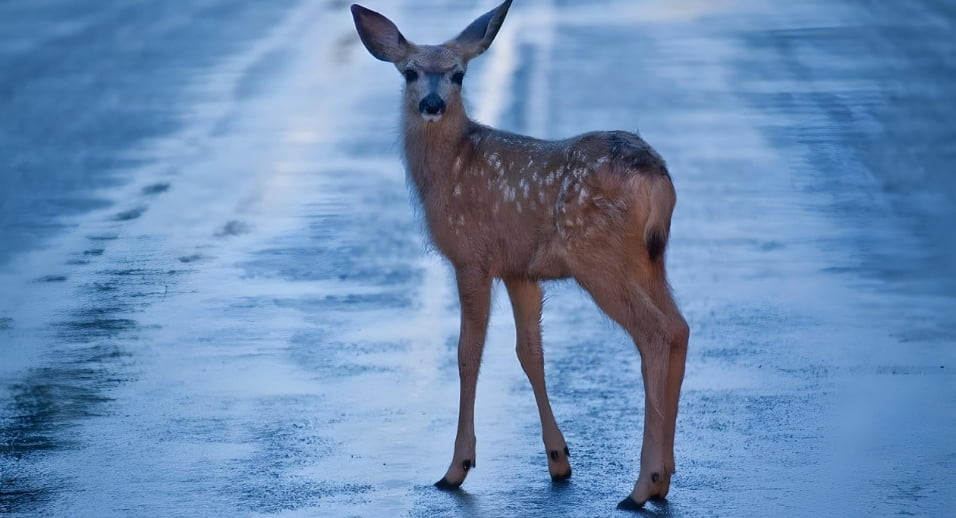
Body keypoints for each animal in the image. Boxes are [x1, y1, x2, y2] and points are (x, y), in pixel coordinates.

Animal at [352, 0, 688, 512]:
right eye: (410, 72)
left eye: (458, 74)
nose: (432, 104)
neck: (450, 168)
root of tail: (656, 178)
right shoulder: (519, 270)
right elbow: (530, 352)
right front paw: (559, 461)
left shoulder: (472, 256)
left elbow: (467, 353)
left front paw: (456, 469)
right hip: (651, 258)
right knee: (680, 327)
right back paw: (664, 478)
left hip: (598, 256)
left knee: (655, 332)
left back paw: (640, 486)